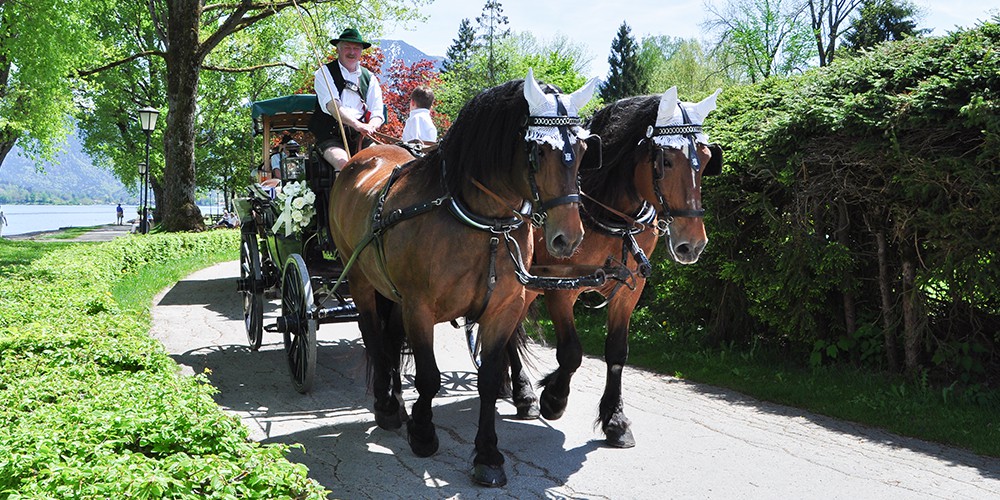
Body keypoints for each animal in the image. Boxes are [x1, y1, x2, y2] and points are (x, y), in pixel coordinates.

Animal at [328, 71, 592, 488]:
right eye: (539, 150)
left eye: (582, 149)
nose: (568, 238)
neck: (483, 223)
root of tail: (362, 157)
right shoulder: (419, 308)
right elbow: (429, 377)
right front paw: (422, 432)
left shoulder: (503, 309)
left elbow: (488, 379)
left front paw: (488, 455)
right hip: (359, 278)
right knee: (374, 337)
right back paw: (386, 405)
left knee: (390, 339)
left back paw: (396, 400)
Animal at [504, 86, 724, 446]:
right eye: (664, 160)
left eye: (705, 161)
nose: (692, 243)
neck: (609, 215)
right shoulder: (561, 287)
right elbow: (571, 352)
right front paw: (553, 397)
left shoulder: (629, 289)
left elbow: (618, 352)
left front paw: (616, 420)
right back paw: (523, 394)